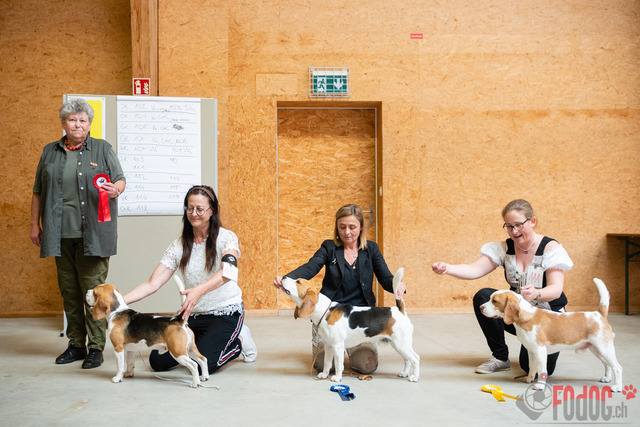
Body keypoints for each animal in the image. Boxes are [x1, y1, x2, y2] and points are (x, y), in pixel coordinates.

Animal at [480, 278, 622, 391]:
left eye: (494, 301)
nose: (481, 307)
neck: (527, 316)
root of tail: (599, 314)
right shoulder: (531, 351)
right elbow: (532, 367)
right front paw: (529, 379)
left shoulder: (540, 351)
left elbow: (542, 370)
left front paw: (540, 386)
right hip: (596, 349)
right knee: (607, 365)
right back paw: (607, 378)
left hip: (604, 348)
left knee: (617, 367)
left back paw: (617, 387)